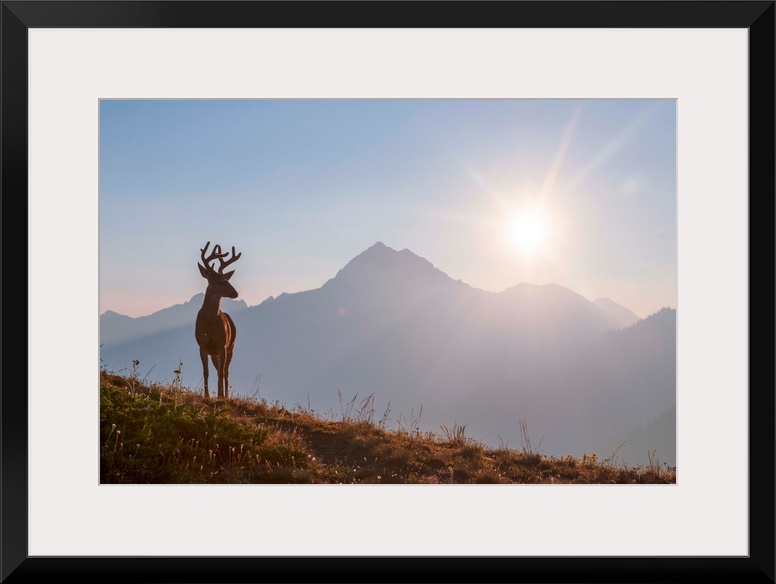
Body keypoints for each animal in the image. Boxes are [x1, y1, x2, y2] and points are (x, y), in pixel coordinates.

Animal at [196, 241, 241, 396]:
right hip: (215, 353)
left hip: (231, 346)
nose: (235, 293)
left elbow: (221, 373)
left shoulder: (222, 345)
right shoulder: (202, 346)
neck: (209, 323)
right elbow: (206, 372)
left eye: (227, 279)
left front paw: (220, 396)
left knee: (225, 372)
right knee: (218, 371)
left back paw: (225, 395)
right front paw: (207, 395)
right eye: (219, 282)